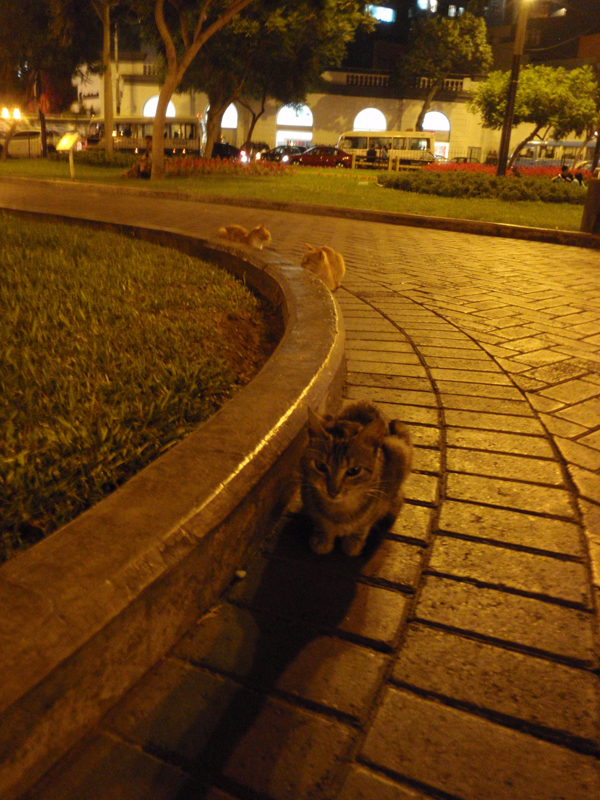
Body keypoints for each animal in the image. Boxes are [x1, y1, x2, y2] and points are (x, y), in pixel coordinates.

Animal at [300, 400, 413, 556]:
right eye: (320, 466)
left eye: (354, 471)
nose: (332, 491)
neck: (340, 509)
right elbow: (320, 521)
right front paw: (322, 538)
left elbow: (365, 523)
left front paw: (353, 541)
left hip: (401, 446)